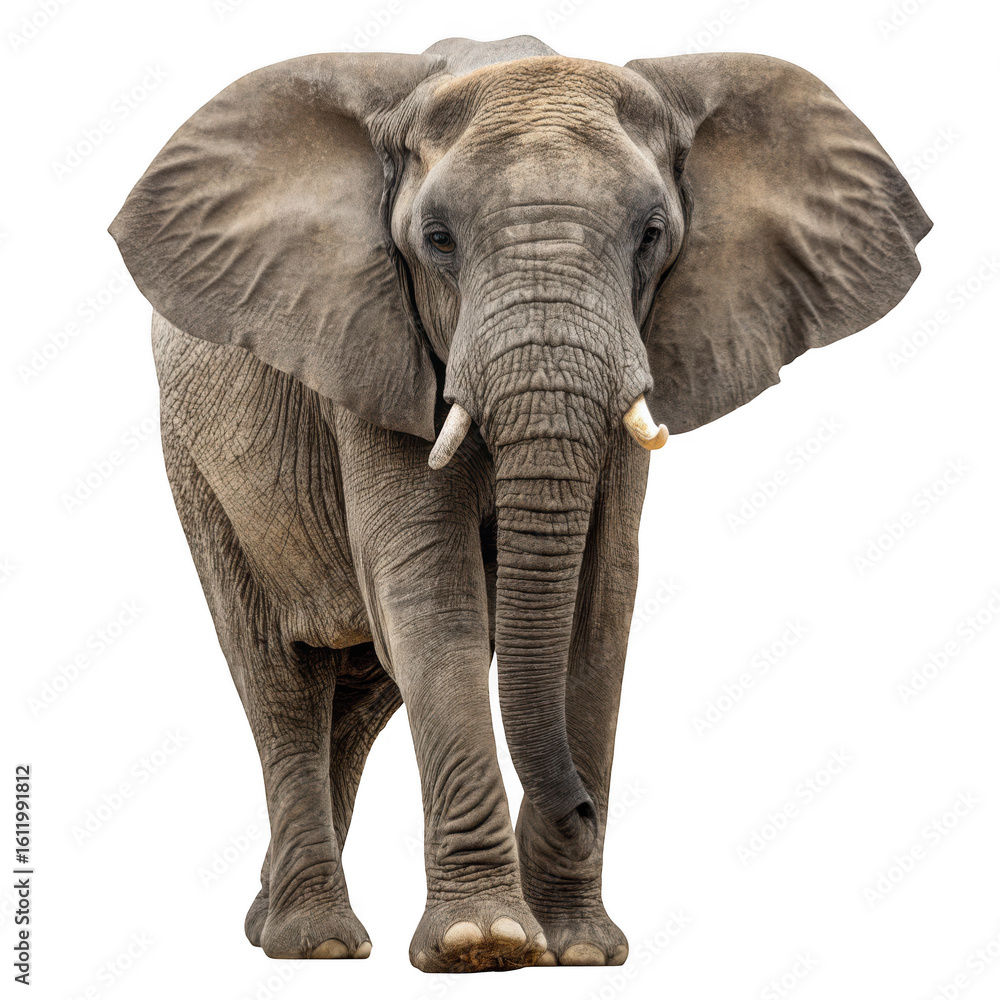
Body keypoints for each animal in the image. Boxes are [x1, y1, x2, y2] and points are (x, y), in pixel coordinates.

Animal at [108, 34, 930, 973]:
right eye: (436, 240)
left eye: (652, 235)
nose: (581, 809)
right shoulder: (374, 346)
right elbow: (433, 597)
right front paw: (487, 945)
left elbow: (596, 612)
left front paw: (577, 951)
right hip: (197, 465)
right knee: (279, 682)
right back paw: (314, 941)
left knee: (358, 695)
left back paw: (267, 917)